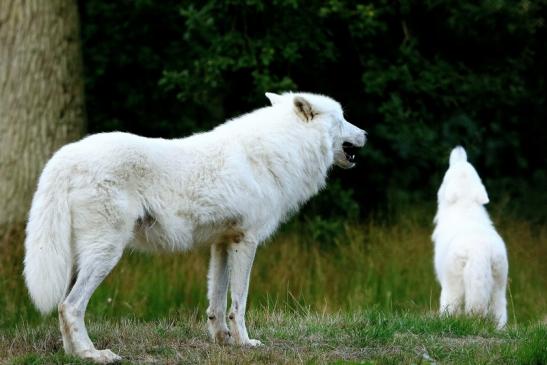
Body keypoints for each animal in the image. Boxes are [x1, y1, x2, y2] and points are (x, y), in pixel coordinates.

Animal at [24, 91, 368, 362]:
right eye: (343, 118)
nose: (366, 134)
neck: (281, 148)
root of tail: (64, 157)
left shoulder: (222, 243)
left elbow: (216, 302)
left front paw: (222, 341)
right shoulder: (246, 240)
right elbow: (239, 303)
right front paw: (245, 343)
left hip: (79, 259)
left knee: (63, 307)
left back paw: (74, 354)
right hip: (106, 254)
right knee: (70, 306)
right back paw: (94, 354)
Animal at [432, 145, 510, 328]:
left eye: (445, 176)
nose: (459, 149)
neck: (465, 204)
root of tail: (480, 252)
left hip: (451, 290)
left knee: (451, 309)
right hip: (499, 289)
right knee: (500, 314)